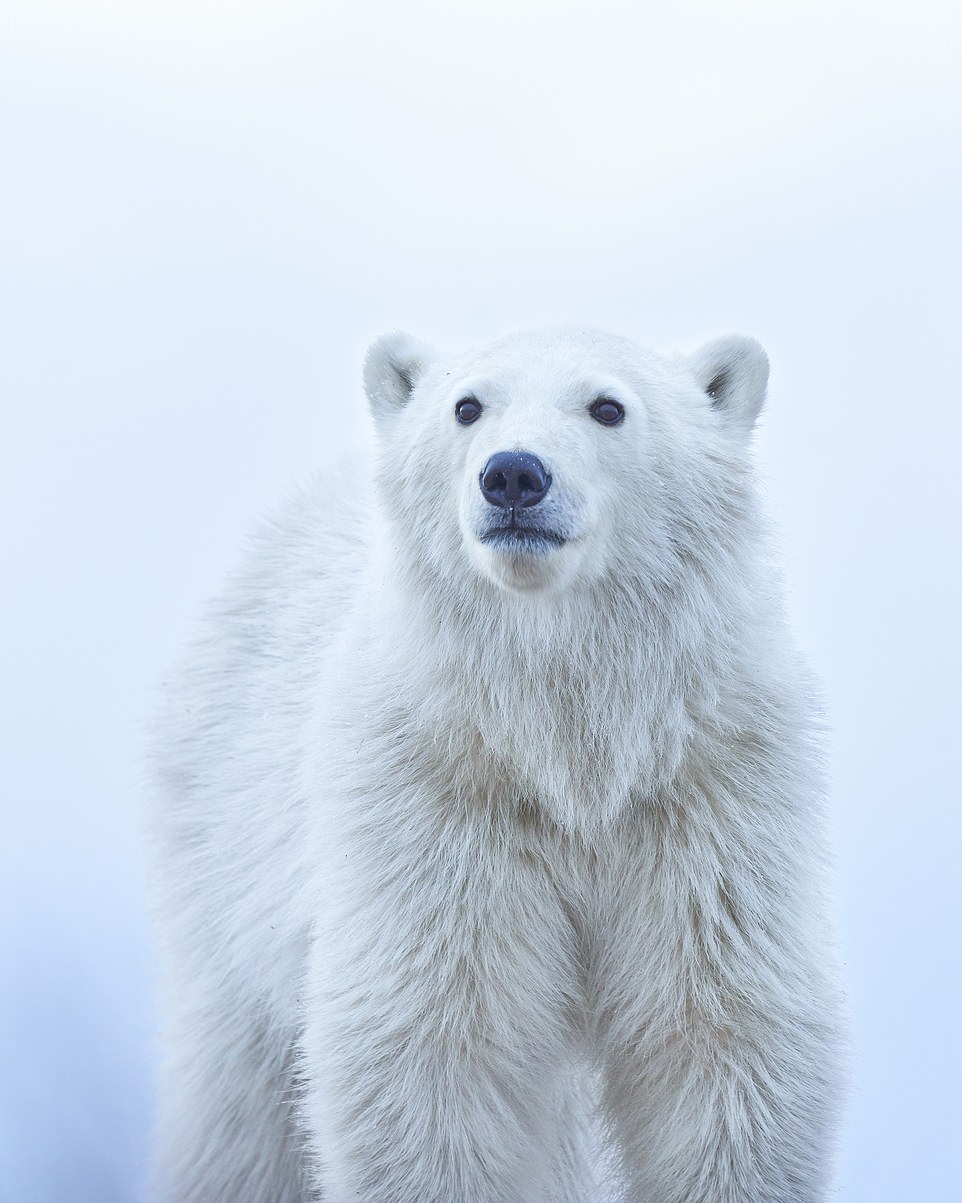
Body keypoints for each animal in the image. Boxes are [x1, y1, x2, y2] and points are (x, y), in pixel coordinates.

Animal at [147, 326, 846, 1203]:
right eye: (467, 405)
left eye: (608, 406)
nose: (514, 473)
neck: (568, 747)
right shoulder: (434, 796)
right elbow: (434, 1048)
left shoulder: (708, 793)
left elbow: (720, 1036)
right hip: (223, 861)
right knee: (240, 1115)